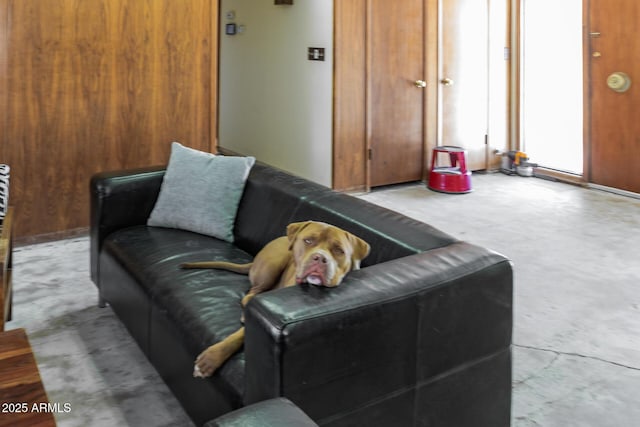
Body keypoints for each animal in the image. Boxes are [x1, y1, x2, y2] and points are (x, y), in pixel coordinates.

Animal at [180, 221, 370, 378]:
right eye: (308, 241)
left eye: (339, 250)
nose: (320, 258)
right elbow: (238, 335)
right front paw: (212, 358)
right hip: (274, 263)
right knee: (252, 292)